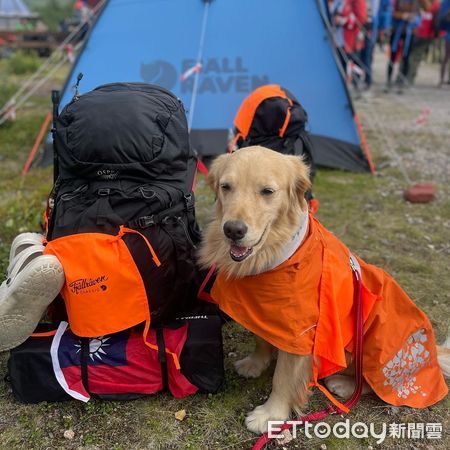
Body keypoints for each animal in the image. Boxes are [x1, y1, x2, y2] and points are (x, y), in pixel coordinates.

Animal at [200, 146, 450, 434]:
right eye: (226, 187)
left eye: (267, 191)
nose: (233, 230)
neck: (275, 257)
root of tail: (432, 355)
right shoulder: (264, 314)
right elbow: (261, 339)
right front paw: (255, 363)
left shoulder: (301, 334)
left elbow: (283, 378)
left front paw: (270, 415)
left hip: (377, 341)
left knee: (375, 383)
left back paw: (345, 384)